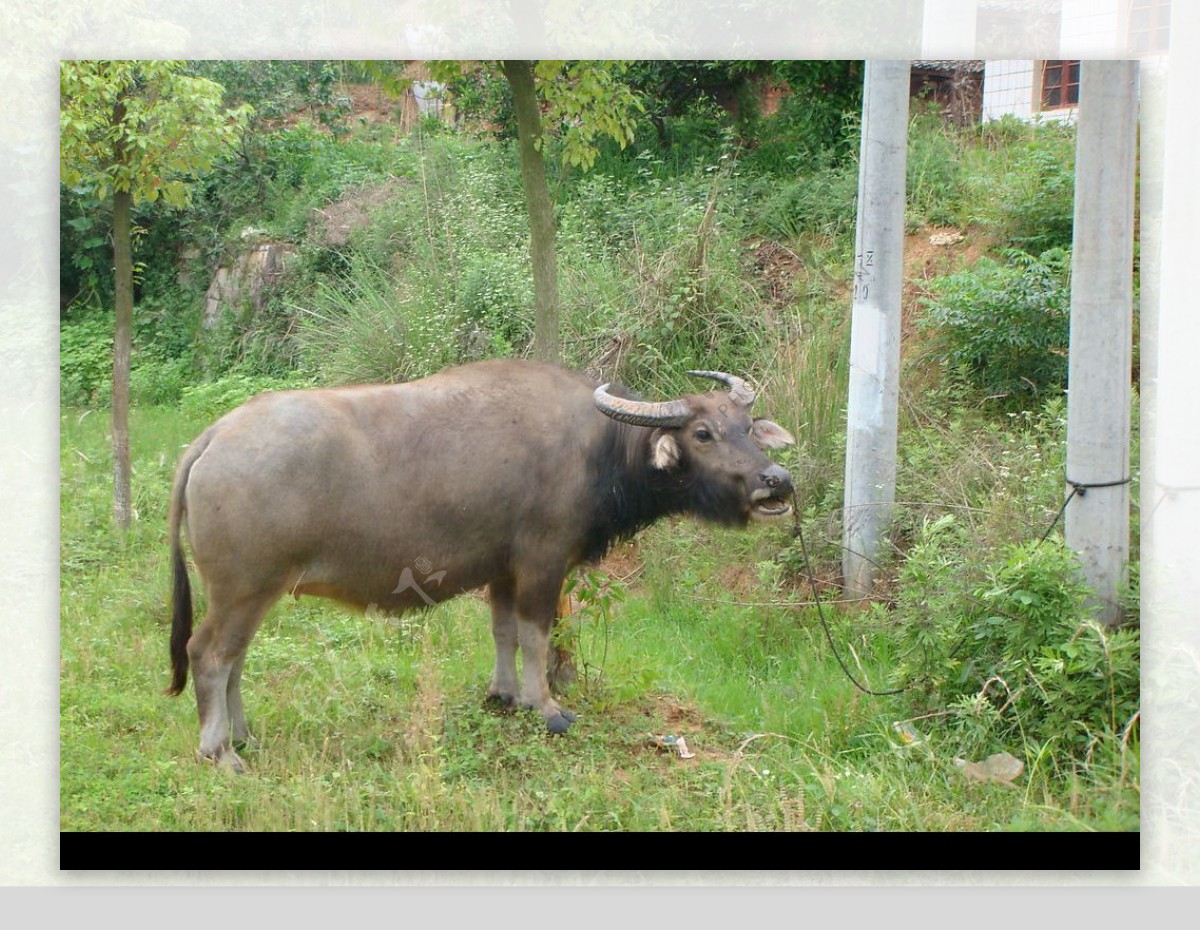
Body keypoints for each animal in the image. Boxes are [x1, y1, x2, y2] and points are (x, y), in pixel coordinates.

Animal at [164, 357, 792, 772]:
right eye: (703, 433)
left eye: (747, 429)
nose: (776, 481)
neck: (595, 450)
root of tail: (212, 437)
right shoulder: (542, 563)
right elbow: (538, 635)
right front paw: (547, 708)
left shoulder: (502, 570)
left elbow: (504, 632)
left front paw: (503, 695)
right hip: (242, 589)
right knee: (209, 655)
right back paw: (219, 751)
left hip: (253, 592)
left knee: (234, 660)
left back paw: (243, 736)